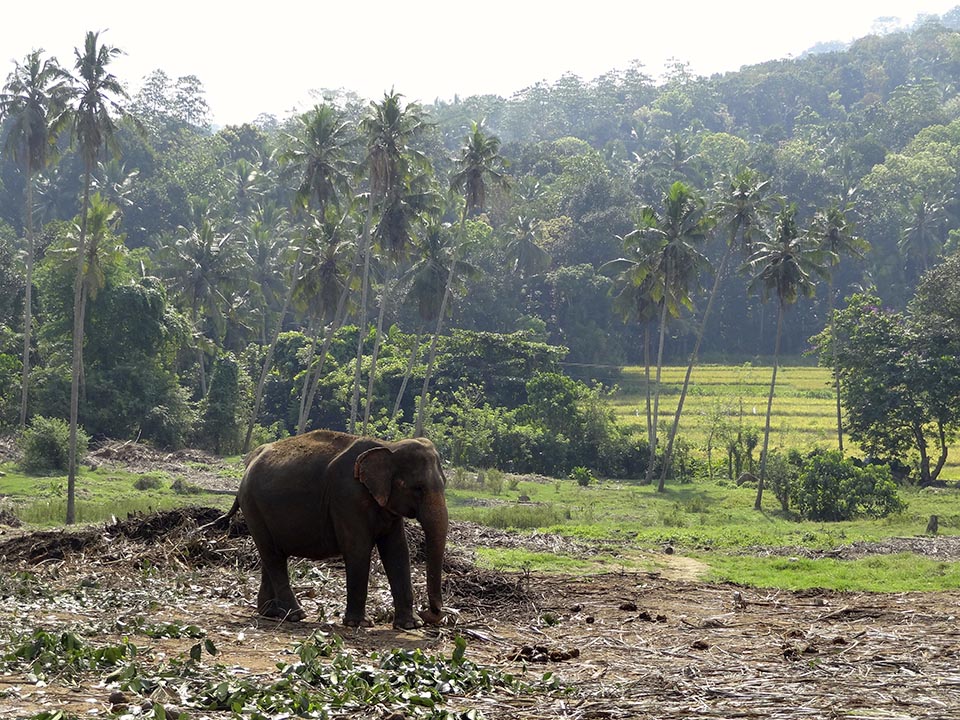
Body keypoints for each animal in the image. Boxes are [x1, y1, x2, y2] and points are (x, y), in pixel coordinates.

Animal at [223, 429, 448, 629]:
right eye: (418, 488)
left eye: (444, 484)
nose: (429, 612)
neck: (388, 446)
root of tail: (249, 462)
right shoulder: (347, 496)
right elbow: (358, 549)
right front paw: (359, 623)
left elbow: (398, 551)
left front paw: (411, 625)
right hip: (253, 508)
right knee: (273, 557)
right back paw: (295, 615)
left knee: (270, 556)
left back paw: (271, 612)